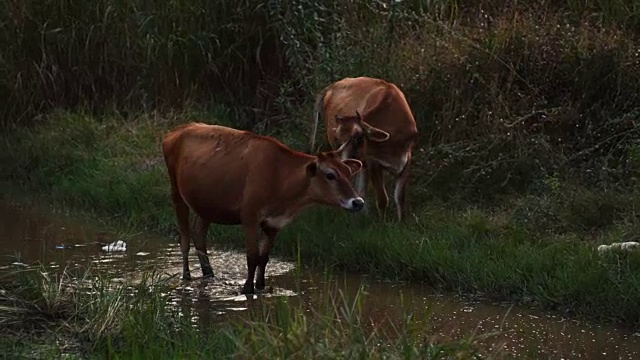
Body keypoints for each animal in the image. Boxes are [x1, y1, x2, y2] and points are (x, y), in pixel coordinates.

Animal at [162, 122, 364, 294]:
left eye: (348, 172)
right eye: (330, 175)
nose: (358, 202)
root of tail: (178, 129)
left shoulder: (274, 223)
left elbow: (264, 257)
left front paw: (260, 286)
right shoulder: (249, 216)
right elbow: (252, 256)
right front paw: (247, 289)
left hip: (207, 203)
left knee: (199, 234)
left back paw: (209, 274)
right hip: (176, 192)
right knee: (185, 239)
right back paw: (187, 276)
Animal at [310, 76, 420, 222]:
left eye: (358, 138)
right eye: (338, 139)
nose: (342, 163)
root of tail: (333, 85)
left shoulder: (407, 159)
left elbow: (399, 197)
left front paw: (401, 222)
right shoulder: (373, 162)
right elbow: (382, 199)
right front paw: (382, 223)